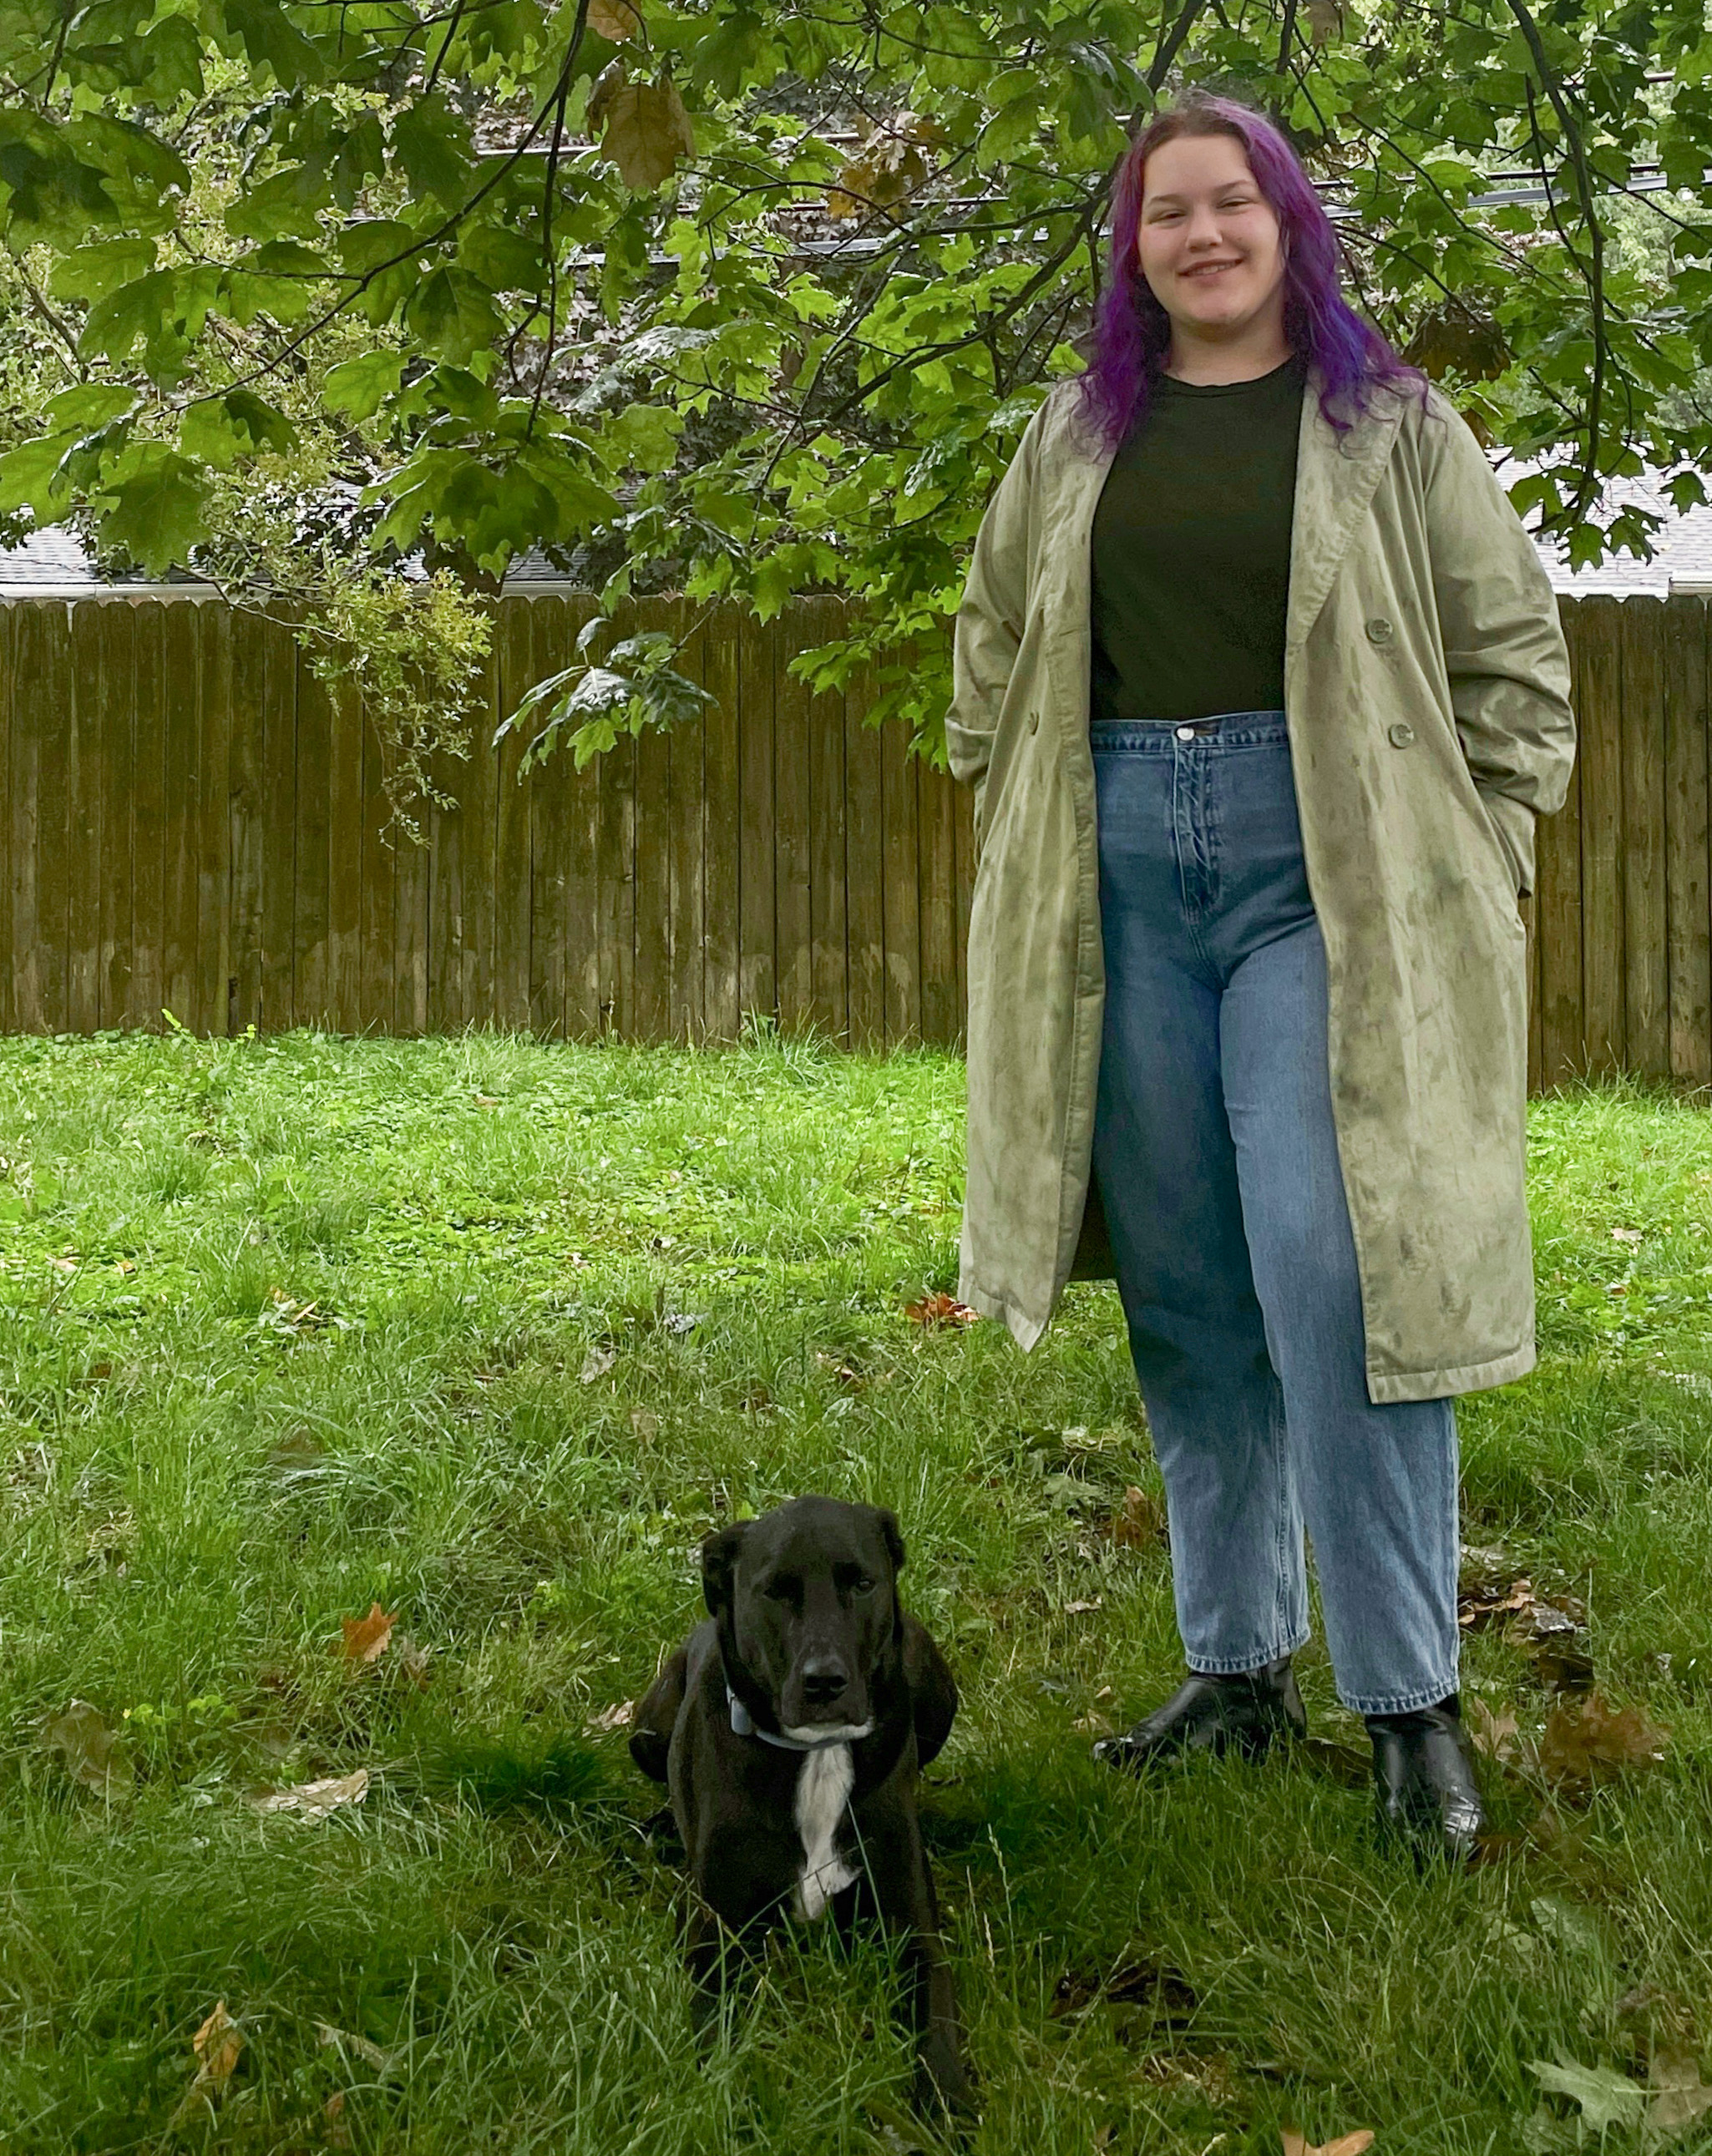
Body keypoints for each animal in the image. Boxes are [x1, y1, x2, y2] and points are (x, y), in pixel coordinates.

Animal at [629, 1501, 975, 2104]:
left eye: (862, 1583)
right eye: (775, 1591)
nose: (825, 1682)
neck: (818, 1755)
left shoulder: (915, 1933)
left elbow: (936, 2029)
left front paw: (947, 2108)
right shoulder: (716, 1939)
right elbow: (711, 2044)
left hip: (933, 1684)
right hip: (646, 1731)